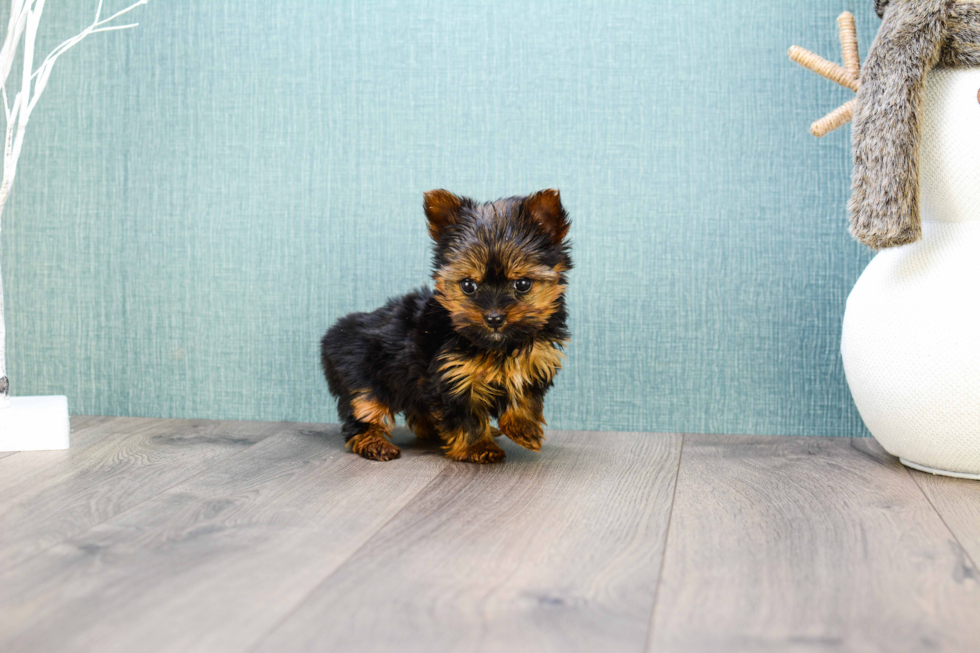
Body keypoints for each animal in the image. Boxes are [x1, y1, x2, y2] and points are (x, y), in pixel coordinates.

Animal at [322, 188, 572, 464]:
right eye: (468, 285)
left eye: (523, 284)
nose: (494, 318)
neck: (500, 346)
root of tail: (333, 335)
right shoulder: (454, 375)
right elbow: (466, 415)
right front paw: (478, 447)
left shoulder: (535, 362)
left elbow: (525, 398)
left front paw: (524, 429)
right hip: (360, 374)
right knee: (364, 410)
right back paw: (375, 443)